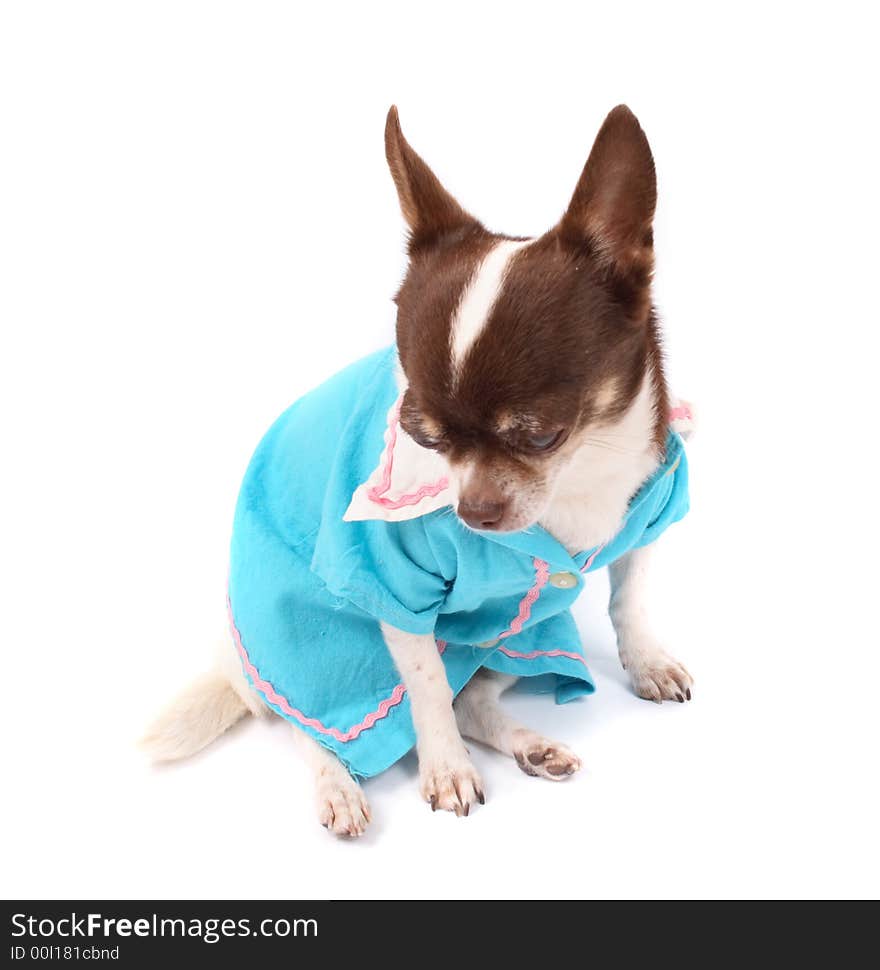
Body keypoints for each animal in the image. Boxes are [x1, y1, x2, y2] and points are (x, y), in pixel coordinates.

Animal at [143, 104, 696, 832]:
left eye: (541, 435)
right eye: (421, 435)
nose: (474, 513)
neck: (579, 476)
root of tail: (232, 664)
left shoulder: (647, 517)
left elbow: (627, 601)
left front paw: (647, 664)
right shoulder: (393, 586)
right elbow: (427, 687)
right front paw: (445, 769)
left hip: (514, 633)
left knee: (474, 698)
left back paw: (532, 745)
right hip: (311, 658)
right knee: (309, 723)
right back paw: (338, 786)